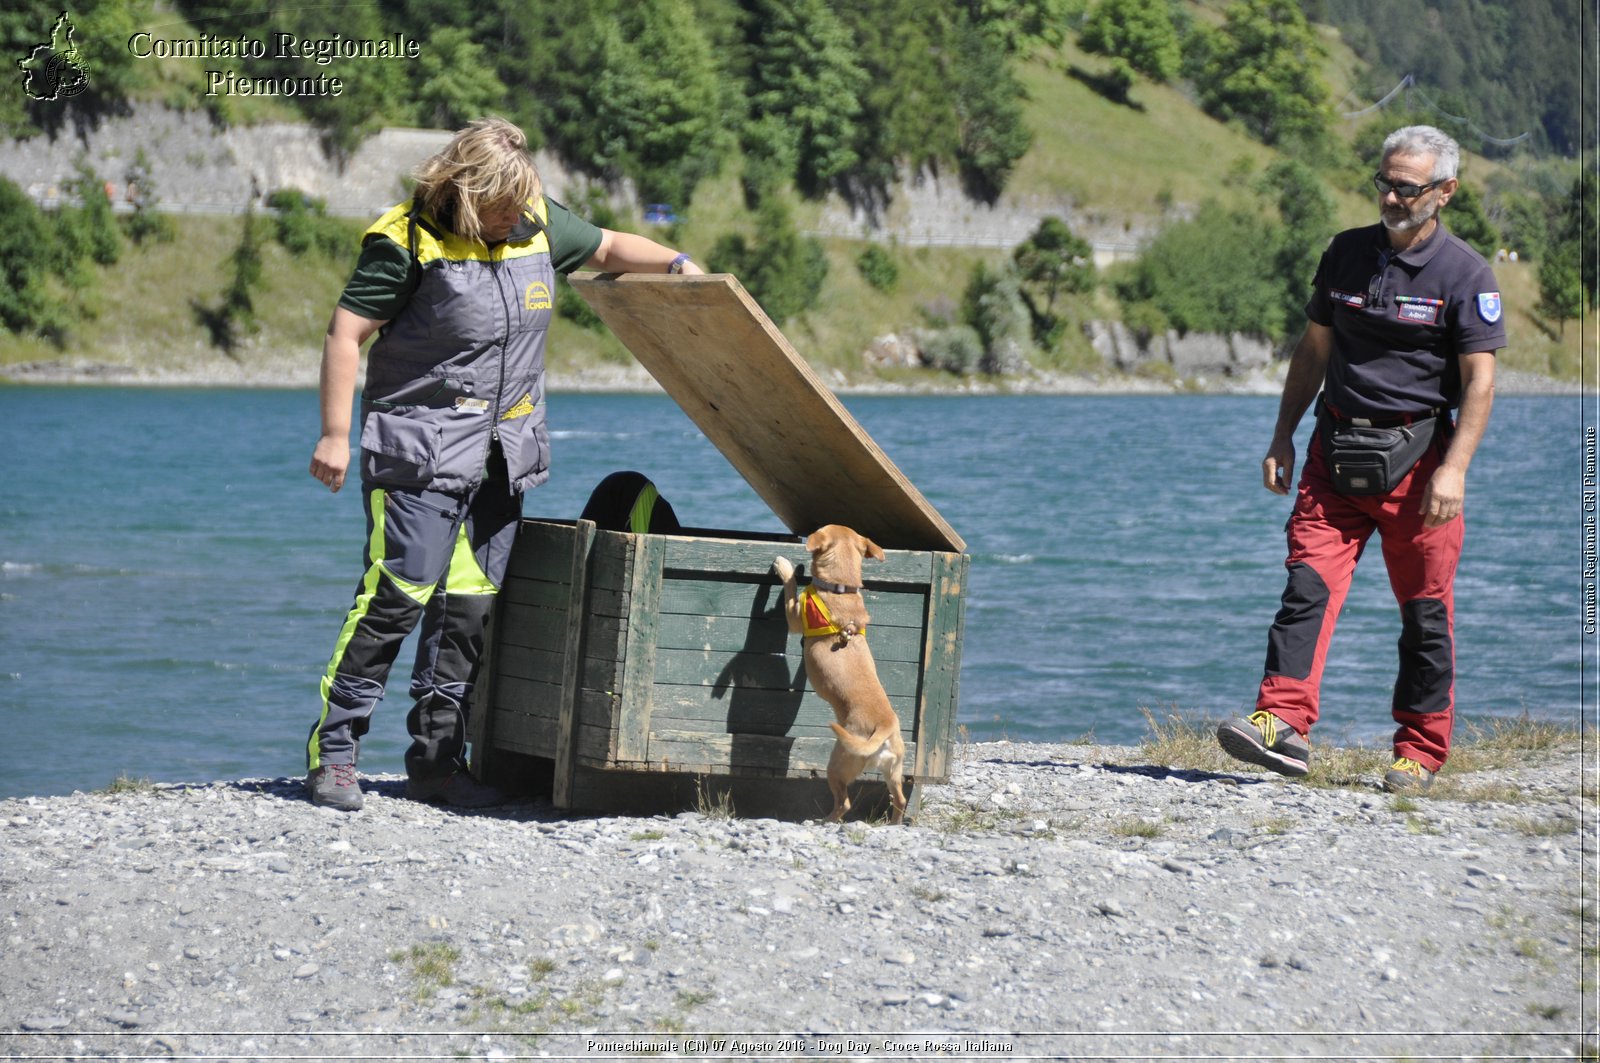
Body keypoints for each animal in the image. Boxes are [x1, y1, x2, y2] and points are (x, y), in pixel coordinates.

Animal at [777, 528, 915, 826]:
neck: (841, 587)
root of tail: (885, 724)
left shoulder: (794, 617)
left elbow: (790, 588)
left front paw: (785, 567)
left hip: (837, 764)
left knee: (844, 802)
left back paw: (824, 820)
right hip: (894, 770)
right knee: (899, 799)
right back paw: (894, 824)